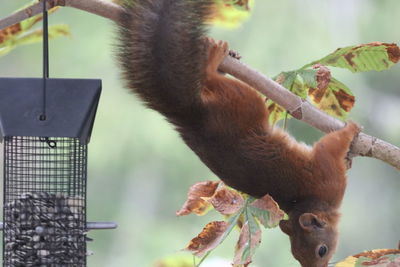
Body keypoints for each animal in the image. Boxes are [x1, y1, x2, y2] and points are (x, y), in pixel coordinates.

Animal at [115, 1, 360, 266]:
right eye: (318, 251)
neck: (307, 204)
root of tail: (190, 114)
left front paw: (349, 155)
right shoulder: (327, 175)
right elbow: (331, 145)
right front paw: (351, 130)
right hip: (244, 100)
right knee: (212, 80)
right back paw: (215, 58)